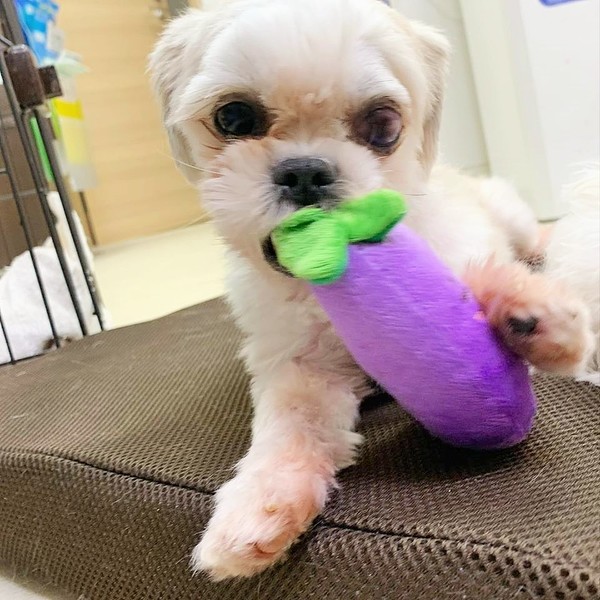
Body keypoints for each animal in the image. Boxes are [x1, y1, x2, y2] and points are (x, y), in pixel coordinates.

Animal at [149, 0, 597, 580]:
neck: (324, 296)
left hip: (508, 213)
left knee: (532, 236)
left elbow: (480, 285)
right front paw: (259, 503)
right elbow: (293, 429)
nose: (305, 172)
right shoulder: (300, 368)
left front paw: (529, 315)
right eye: (234, 119)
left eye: (383, 125)